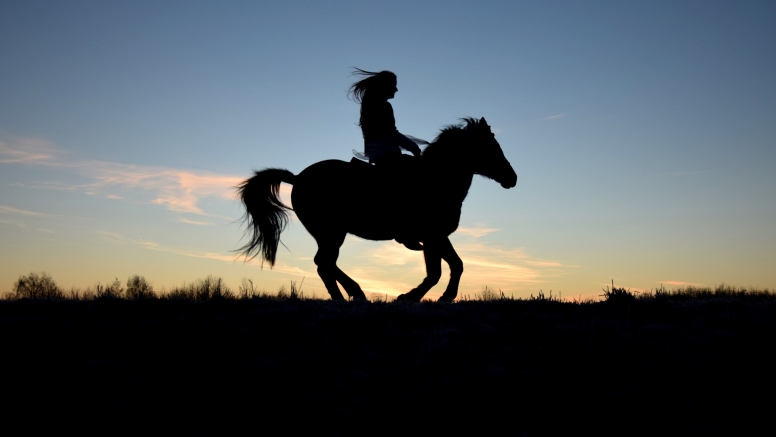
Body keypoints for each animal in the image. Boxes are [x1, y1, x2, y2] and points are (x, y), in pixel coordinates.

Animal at [235, 116, 516, 302]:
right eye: (489, 147)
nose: (512, 178)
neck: (434, 180)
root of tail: (297, 178)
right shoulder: (432, 236)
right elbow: (440, 270)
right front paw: (416, 296)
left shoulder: (435, 237)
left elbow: (450, 267)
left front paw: (430, 297)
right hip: (331, 232)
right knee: (324, 263)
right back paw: (352, 295)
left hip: (329, 234)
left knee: (325, 264)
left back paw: (350, 295)